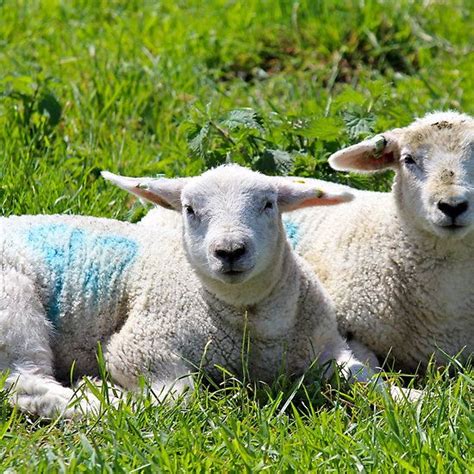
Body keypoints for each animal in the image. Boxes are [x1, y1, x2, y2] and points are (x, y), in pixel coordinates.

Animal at [0, 165, 374, 416]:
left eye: (268, 204)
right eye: (189, 209)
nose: (230, 251)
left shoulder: (326, 346)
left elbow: (366, 376)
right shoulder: (142, 344)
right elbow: (179, 396)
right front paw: (107, 389)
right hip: (13, 307)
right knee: (23, 383)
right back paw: (96, 399)